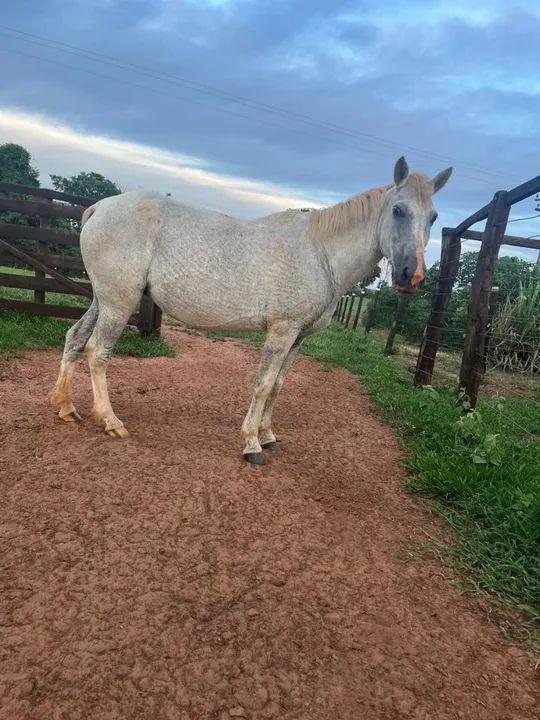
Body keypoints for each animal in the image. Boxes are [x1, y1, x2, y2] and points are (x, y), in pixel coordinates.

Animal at [49, 157, 451, 464]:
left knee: (75, 339)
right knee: (97, 352)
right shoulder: (282, 330)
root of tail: (101, 207)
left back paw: (66, 408)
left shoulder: (298, 339)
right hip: (119, 302)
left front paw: (268, 433)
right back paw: (110, 420)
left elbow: (279, 386)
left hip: (102, 299)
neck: (320, 252)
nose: (412, 275)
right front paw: (252, 444)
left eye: (433, 217)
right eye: (398, 210)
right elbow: (263, 384)